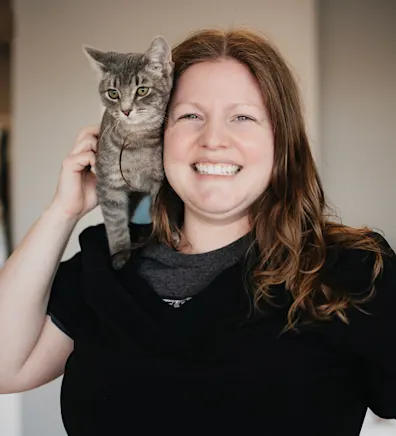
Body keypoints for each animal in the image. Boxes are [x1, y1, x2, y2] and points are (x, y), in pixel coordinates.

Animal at [84, 36, 174, 270]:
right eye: (113, 93)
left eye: (142, 90)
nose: (126, 110)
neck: (136, 143)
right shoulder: (109, 184)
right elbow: (115, 222)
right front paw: (120, 254)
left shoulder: (159, 182)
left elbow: (159, 211)